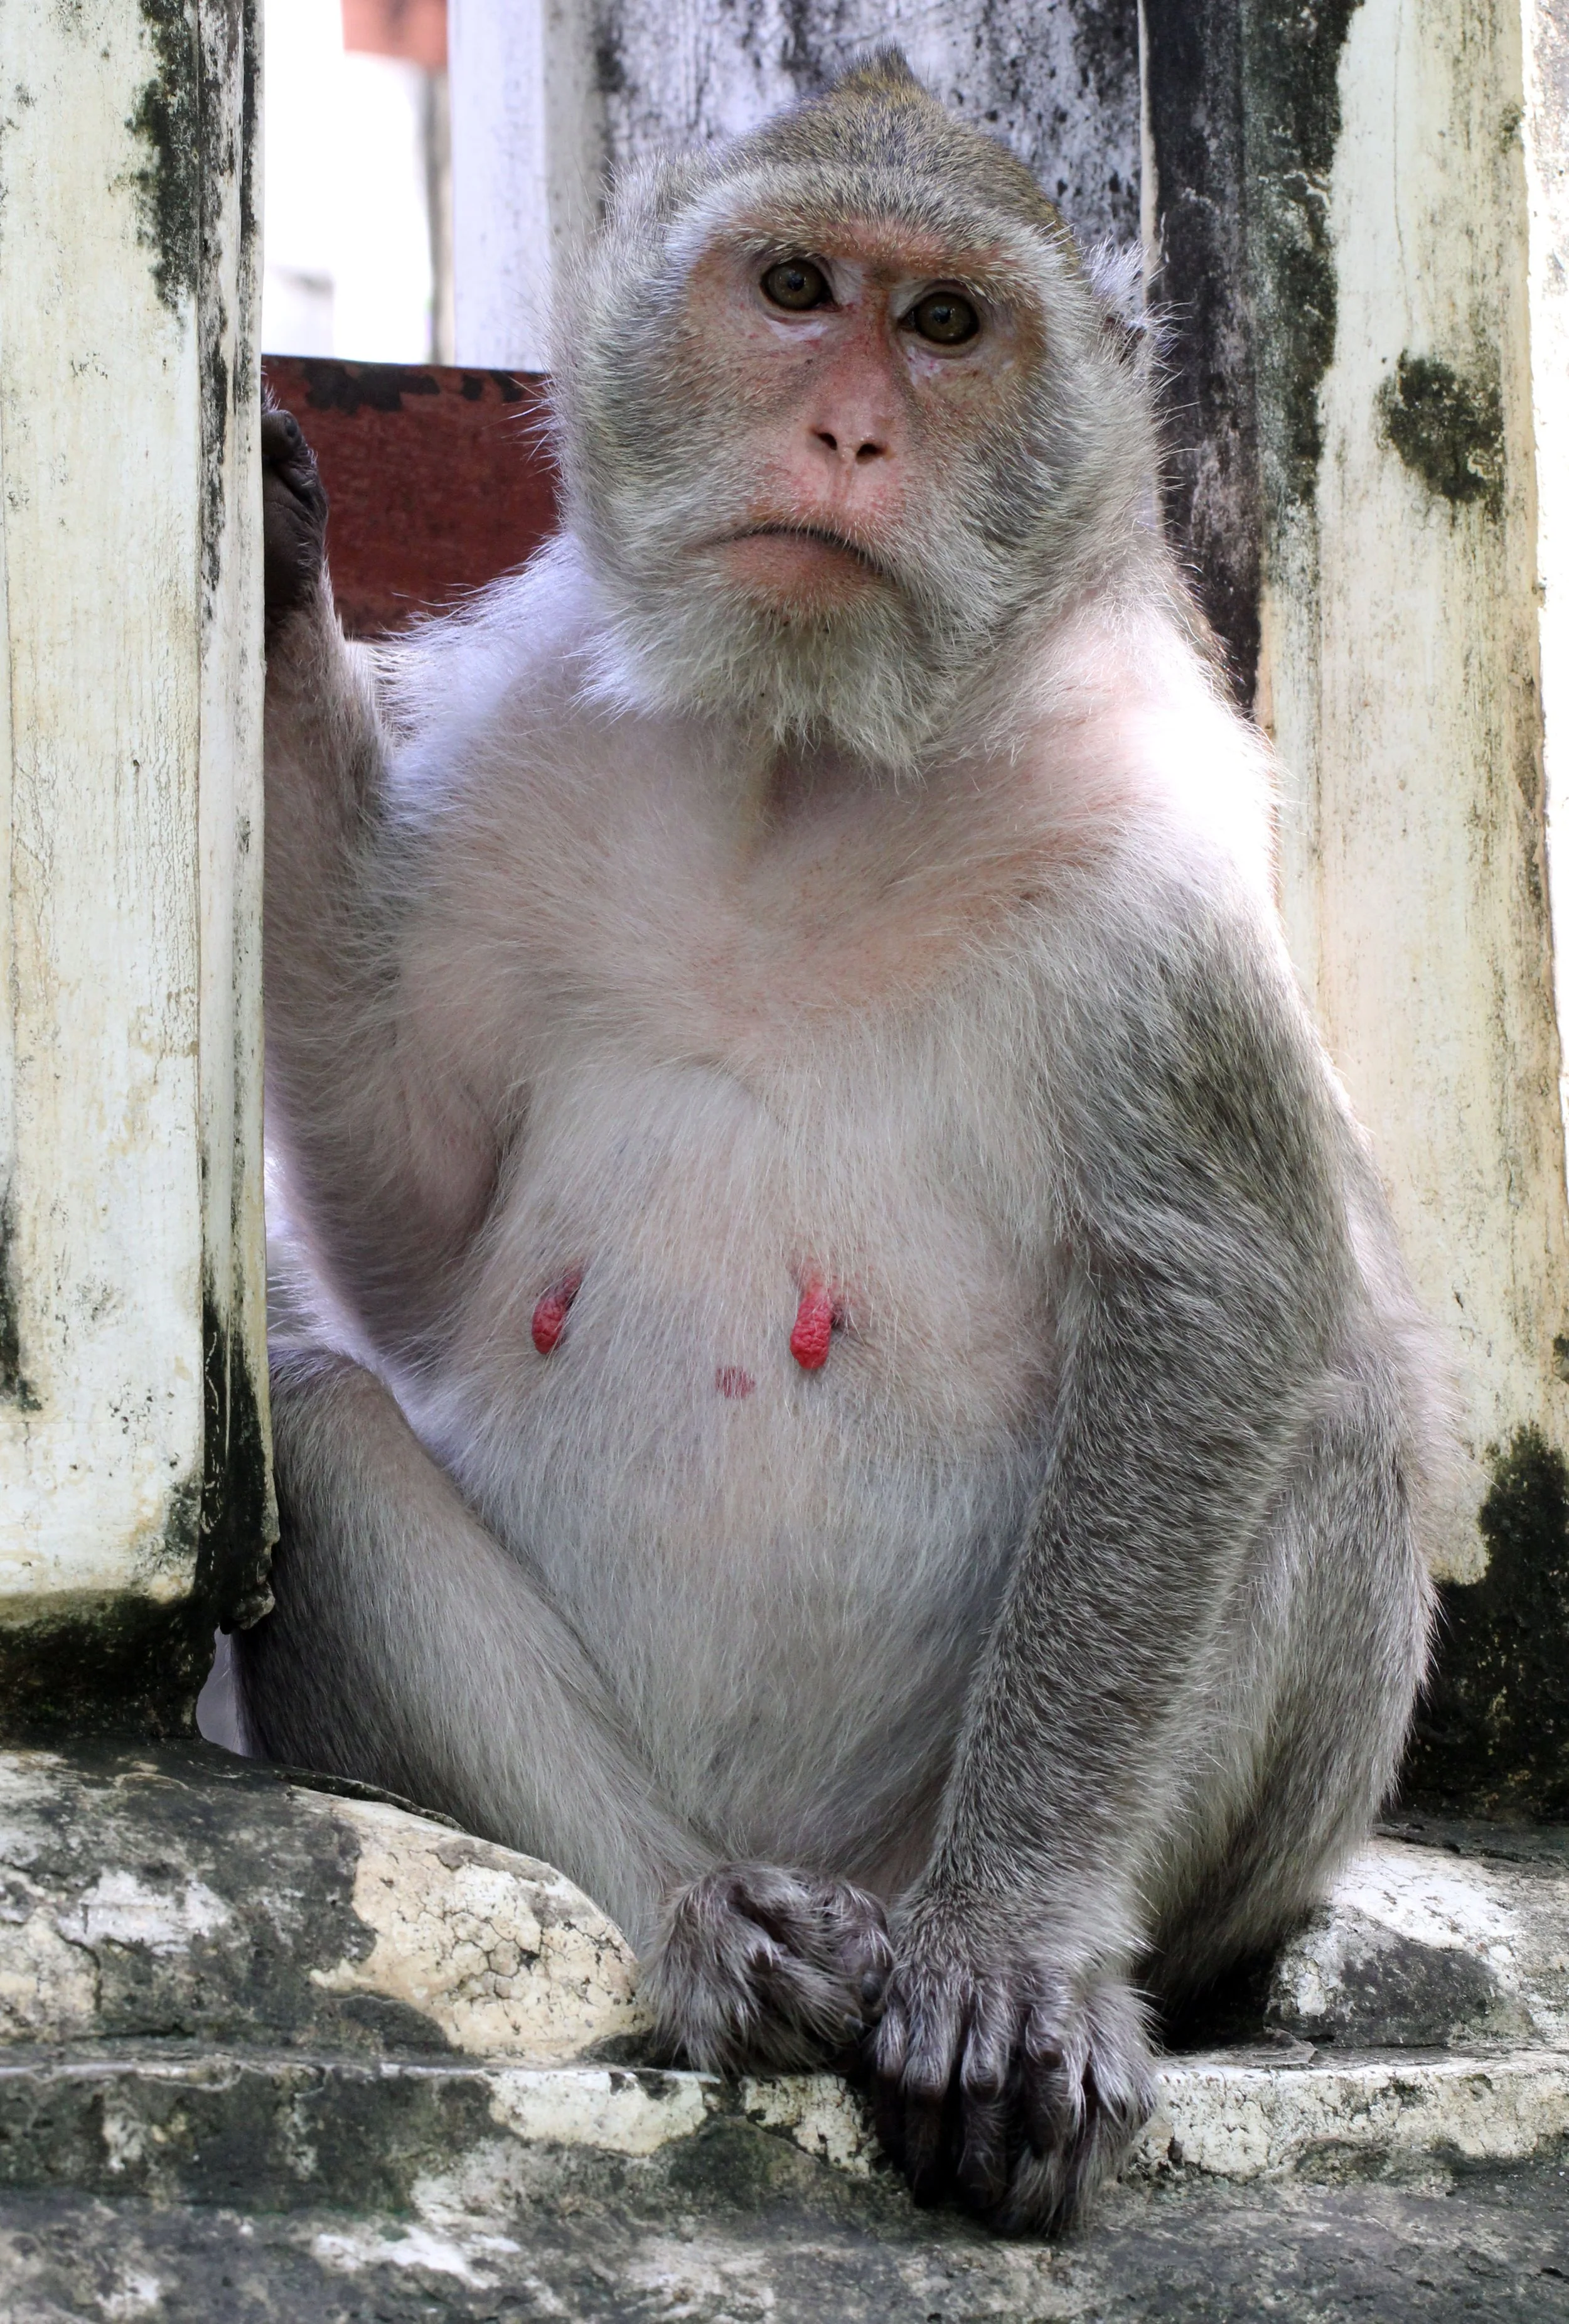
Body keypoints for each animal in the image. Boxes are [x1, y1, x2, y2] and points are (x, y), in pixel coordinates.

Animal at [237, 54, 1445, 2233]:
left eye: (947, 323)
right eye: (796, 286)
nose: (851, 429)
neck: (804, 765)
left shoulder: (1154, 860)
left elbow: (1219, 1299)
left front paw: (1017, 1957)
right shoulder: (532, 747)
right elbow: (410, 1215)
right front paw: (285, 571)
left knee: (1324, 1414)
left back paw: (1024, 1969)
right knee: (320, 1415)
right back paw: (705, 1927)